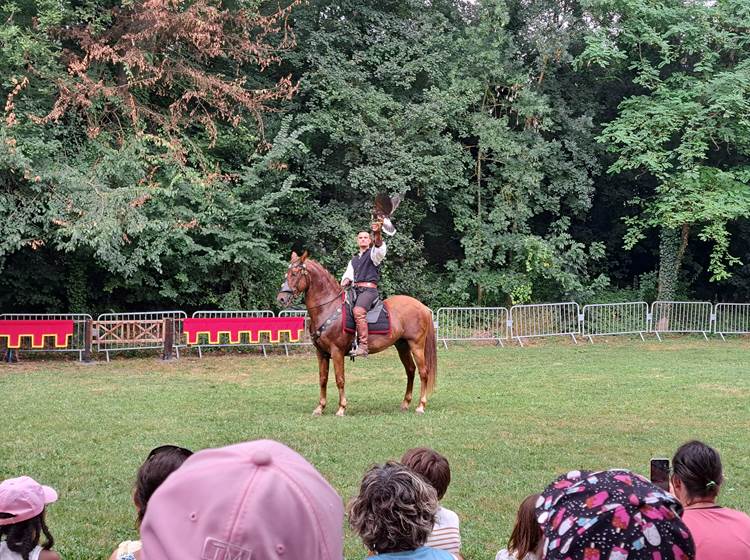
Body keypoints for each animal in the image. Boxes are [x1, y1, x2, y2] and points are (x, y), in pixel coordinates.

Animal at [280, 252, 438, 414]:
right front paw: (320, 407)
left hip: (416, 346)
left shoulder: (337, 352)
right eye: (287, 274)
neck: (328, 308)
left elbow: (340, 379)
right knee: (410, 370)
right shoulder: (321, 353)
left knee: (423, 372)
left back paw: (421, 405)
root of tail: (422, 307)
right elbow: (323, 379)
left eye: (294, 274)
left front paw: (341, 408)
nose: (281, 298)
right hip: (402, 346)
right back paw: (406, 403)